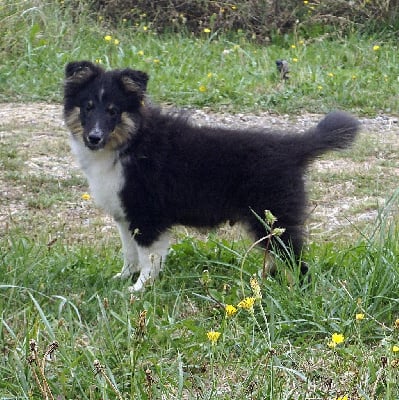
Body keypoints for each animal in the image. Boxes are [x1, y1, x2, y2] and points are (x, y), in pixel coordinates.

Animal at [64, 60, 360, 290]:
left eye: (113, 111)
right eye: (87, 107)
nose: (93, 137)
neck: (130, 142)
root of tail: (293, 147)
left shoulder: (147, 214)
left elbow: (148, 256)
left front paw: (139, 288)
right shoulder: (125, 214)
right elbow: (129, 252)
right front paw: (123, 278)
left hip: (274, 215)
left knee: (296, 258)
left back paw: (297, 288)